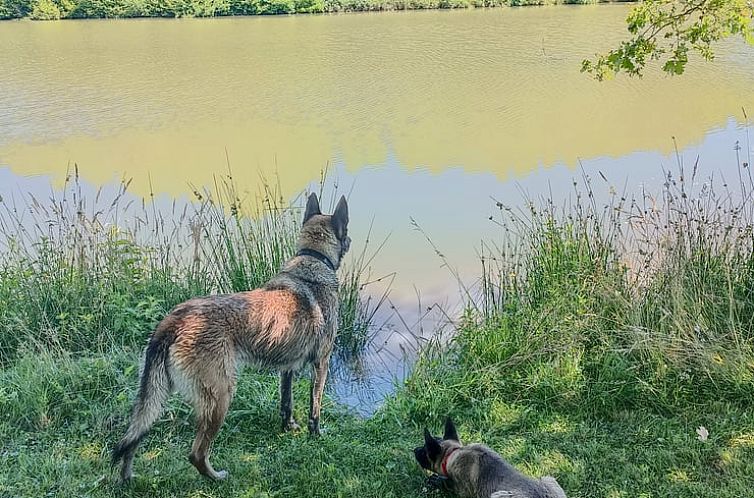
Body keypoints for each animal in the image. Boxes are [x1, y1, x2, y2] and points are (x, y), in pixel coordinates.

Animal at [111, 193, 350, 480]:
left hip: (154, 397)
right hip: (221, 396)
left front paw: (288, 427)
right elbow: (315, 408)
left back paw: (127, 478)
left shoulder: (287, 369)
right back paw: (216, 478)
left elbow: (286, 403)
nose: (350, 241)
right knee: (196, 453)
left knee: (133, 438)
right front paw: (316, 435)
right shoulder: (321, 364)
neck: (312, 261)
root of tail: (175, 319)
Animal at [414, 418, 568, 496]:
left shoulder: (462, 491)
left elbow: (448, 485)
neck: (453, 453)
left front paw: (437, 481)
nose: (414, 450)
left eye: (424, 451)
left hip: (497, 495)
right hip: (548, 478)